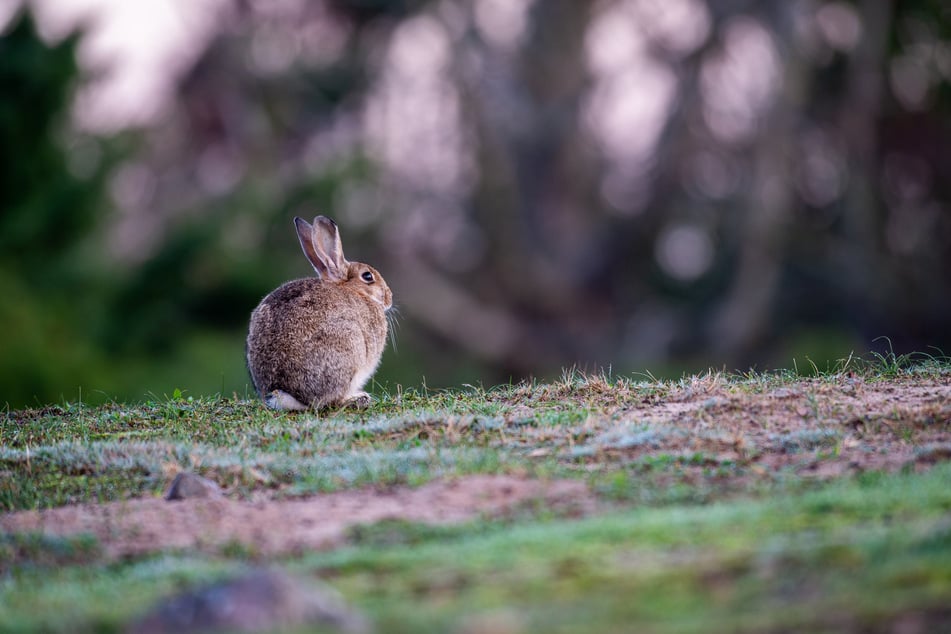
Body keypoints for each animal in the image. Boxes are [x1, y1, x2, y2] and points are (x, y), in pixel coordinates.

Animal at [249, 215, 394, 408]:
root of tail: (288, 393)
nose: (389, 297)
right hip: (348, 345)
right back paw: (357, 398)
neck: (355, 290)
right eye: (367, 276)